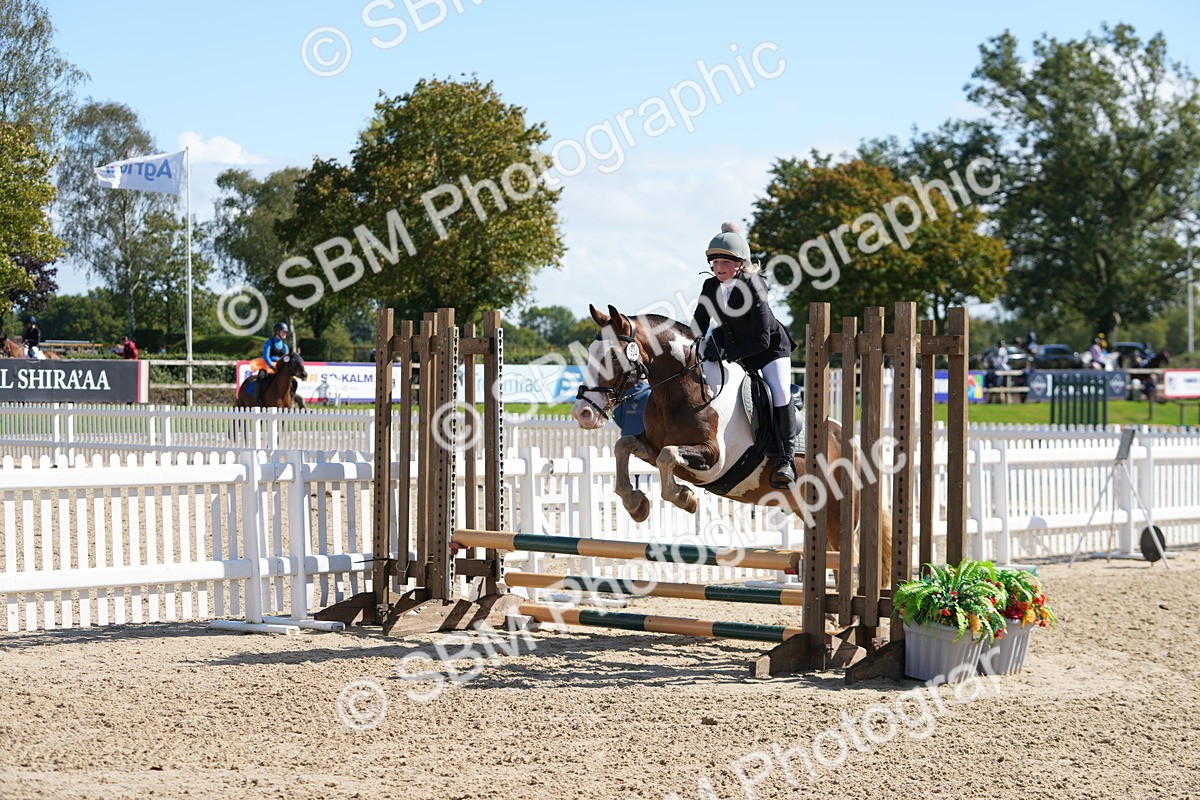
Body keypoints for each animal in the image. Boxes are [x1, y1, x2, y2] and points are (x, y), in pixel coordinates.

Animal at [571, 304, 892, 585]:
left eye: (613, 357)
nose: (582, 413)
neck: (681, 388)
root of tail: (852, 442)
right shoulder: (650, 445)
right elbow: (624, 446)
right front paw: (636, 504)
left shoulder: (714, 460)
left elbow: (668, 457)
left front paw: (685, 499)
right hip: (809, 511)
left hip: (838, 517)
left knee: (843, 562)